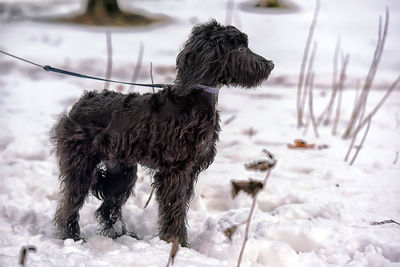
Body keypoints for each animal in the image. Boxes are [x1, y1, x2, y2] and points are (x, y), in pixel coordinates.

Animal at [51, 19, 274, 248]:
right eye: (240, 47)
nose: (269, 65)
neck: (194, 99)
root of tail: (78, 105)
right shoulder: (175, 170)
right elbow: (173, 206)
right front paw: (177, 242)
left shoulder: (189, 170)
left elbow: (179, 206)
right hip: (81, 164)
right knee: (70, 202)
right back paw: (72, 237)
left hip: (122, 171)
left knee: (108, 207)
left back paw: (122, 235)